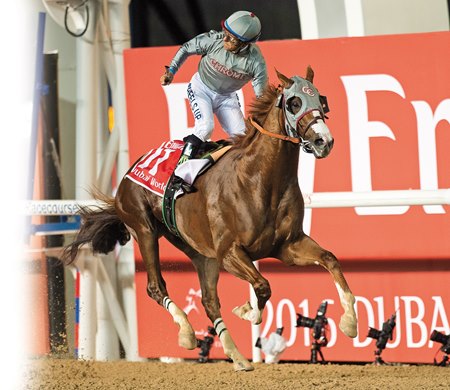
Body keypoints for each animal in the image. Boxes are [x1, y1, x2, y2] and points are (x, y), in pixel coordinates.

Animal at [63, 68, 358, 372]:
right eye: (294, 103)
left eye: (322, 100)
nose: (324, 141)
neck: (260, 179)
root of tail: (128, 174)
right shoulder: (229, 252)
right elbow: (263, 286)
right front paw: (247, 312)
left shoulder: (288, 246)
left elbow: (329, 259)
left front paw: (350, 323)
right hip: (144, 229)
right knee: (156, 286)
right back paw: (187, 333)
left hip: (200, 253)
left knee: (208, 300)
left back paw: (237, 356)